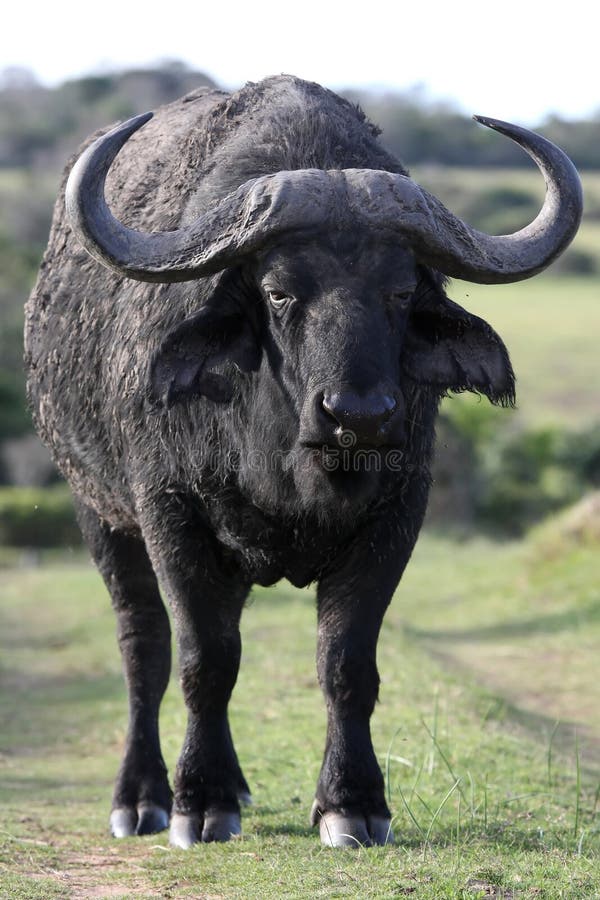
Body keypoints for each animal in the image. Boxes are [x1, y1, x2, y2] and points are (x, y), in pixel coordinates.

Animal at [25, 76, 582, 847]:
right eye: (280, 290)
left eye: (400, 291)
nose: (360, 414)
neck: (289, 461)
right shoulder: (170, 513)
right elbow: (202, 659)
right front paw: (199, 802)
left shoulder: (397, 517)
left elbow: (345, 661)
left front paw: (353, 803)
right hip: (98, 513)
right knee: (144, 648)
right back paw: (142, 796)